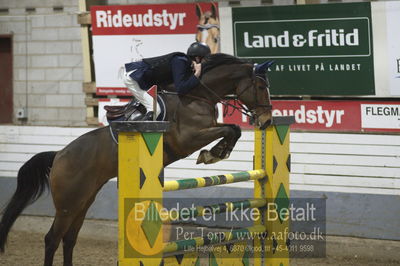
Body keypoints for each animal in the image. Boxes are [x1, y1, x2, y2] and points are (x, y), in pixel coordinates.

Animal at [0, 53, 272, 264]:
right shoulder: (188, 138)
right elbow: (230, 129)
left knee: (69, 239)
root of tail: (58, 156)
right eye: (260, 88)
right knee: (52, 239)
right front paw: (213, 154)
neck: (197, 96)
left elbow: (232, 129)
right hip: (68, 203)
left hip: (83, 200)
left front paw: (217, 152)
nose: (267, 121)